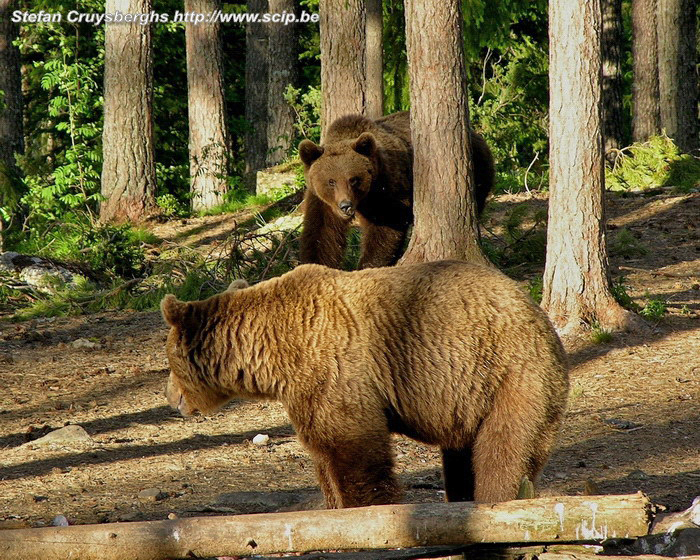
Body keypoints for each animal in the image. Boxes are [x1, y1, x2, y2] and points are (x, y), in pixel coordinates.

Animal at [163, 262, 568, 508]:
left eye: (169, 362)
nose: (170, 396)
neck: (273, 351)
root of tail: (540, 315)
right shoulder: (306, 392)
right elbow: (323, 456)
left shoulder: (335, 370)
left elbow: (354, 451)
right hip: (470, 397)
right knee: (463, 455)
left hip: (511, 375)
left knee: (504, 451)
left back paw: (493, 500)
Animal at [298, 111, 494, 270]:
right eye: (331, 181)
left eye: (353, 179)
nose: (345, 205)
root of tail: (475, 134)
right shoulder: (321, 201)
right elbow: (322, 234)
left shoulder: (387, 185)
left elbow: (386, 225)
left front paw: (367, 265)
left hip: (478, 171)